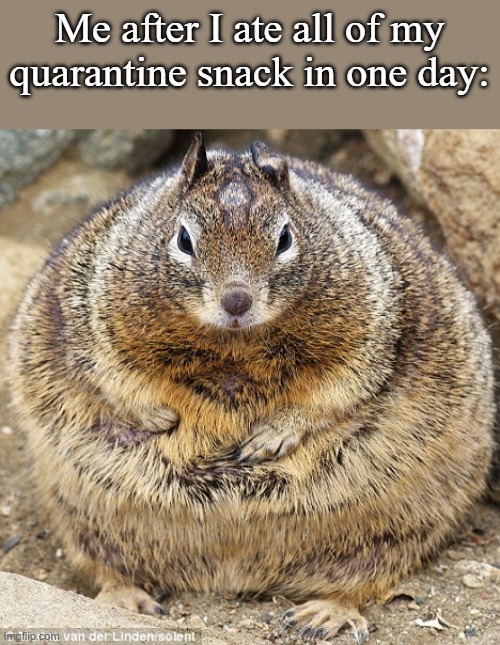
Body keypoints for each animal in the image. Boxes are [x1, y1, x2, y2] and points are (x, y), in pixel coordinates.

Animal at [9, 134, 495, 642]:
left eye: (285, 238)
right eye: (184, 239)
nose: (236, 301)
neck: (234, 347)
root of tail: (230, 575)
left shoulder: (376, 319)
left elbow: (338, 388)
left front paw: (268, 439)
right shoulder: (89, 302)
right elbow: (112, 372)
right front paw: (160, 418)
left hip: (398, 527)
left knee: (366, 580)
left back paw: (321, 615)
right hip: (79, 515)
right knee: (105, 566)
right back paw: (130, 599)